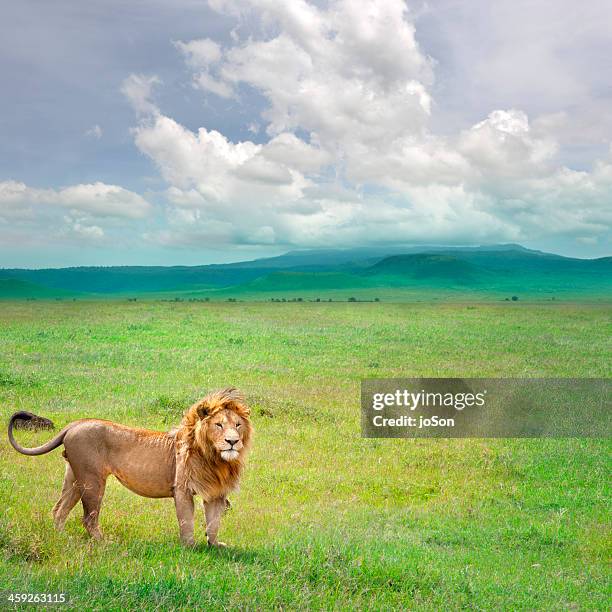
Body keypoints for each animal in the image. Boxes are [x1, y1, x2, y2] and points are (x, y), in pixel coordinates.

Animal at [7, 388, 251, 544]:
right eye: (218, 425)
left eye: (238, 425)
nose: (232, 441)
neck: (216, 459)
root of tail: (75, 423)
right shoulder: (182, 488)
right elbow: (187, 522)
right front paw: (189, 548)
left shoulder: (216, 493)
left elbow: (214, 524)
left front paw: (215, 546)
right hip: (92, 479)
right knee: (88, 518)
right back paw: (104, 542)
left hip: (75, 478)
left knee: (59, 509)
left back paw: (62, 537)